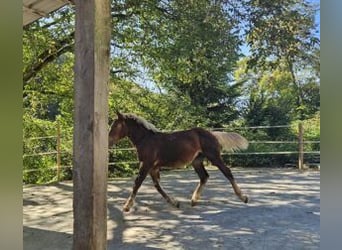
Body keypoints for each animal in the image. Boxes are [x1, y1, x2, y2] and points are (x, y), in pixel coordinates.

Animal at [109, 111, 248, 211]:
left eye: (115, 125)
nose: (109, 141)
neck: (146, 139)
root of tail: (212, 134)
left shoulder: (146, 164)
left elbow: (137, 183)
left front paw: (127, 206)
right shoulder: (153, 167)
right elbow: (157, 186)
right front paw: (175, 203)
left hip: (214, 156)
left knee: (227, 172)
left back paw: (243, 197)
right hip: (196, 161)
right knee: (204, 176)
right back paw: (194, 200)